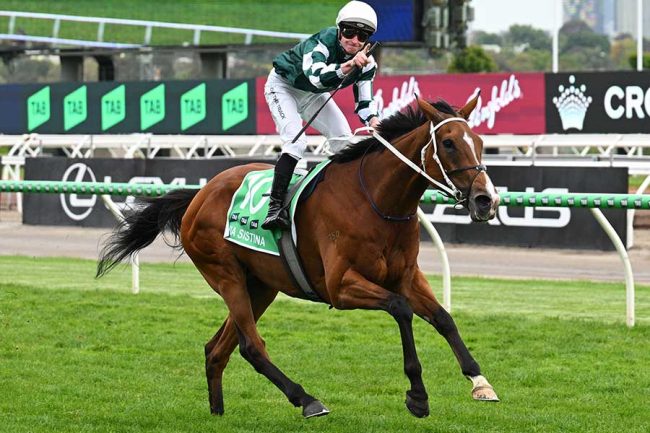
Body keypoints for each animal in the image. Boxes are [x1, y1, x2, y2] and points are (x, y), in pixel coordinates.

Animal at [96, 95, 501, 419]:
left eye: (480, 142)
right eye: (448, 143)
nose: (486, 200)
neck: (377, 201)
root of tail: (199, 194)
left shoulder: (406, 275)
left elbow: (443, 317)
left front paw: (480, 381)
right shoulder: (341, 286)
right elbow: (401, 309)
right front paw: (417, 395)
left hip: (260, 286)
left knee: (218, 348)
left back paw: (217, 411)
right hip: (226, 275)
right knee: (251, 347)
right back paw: (306, 399)